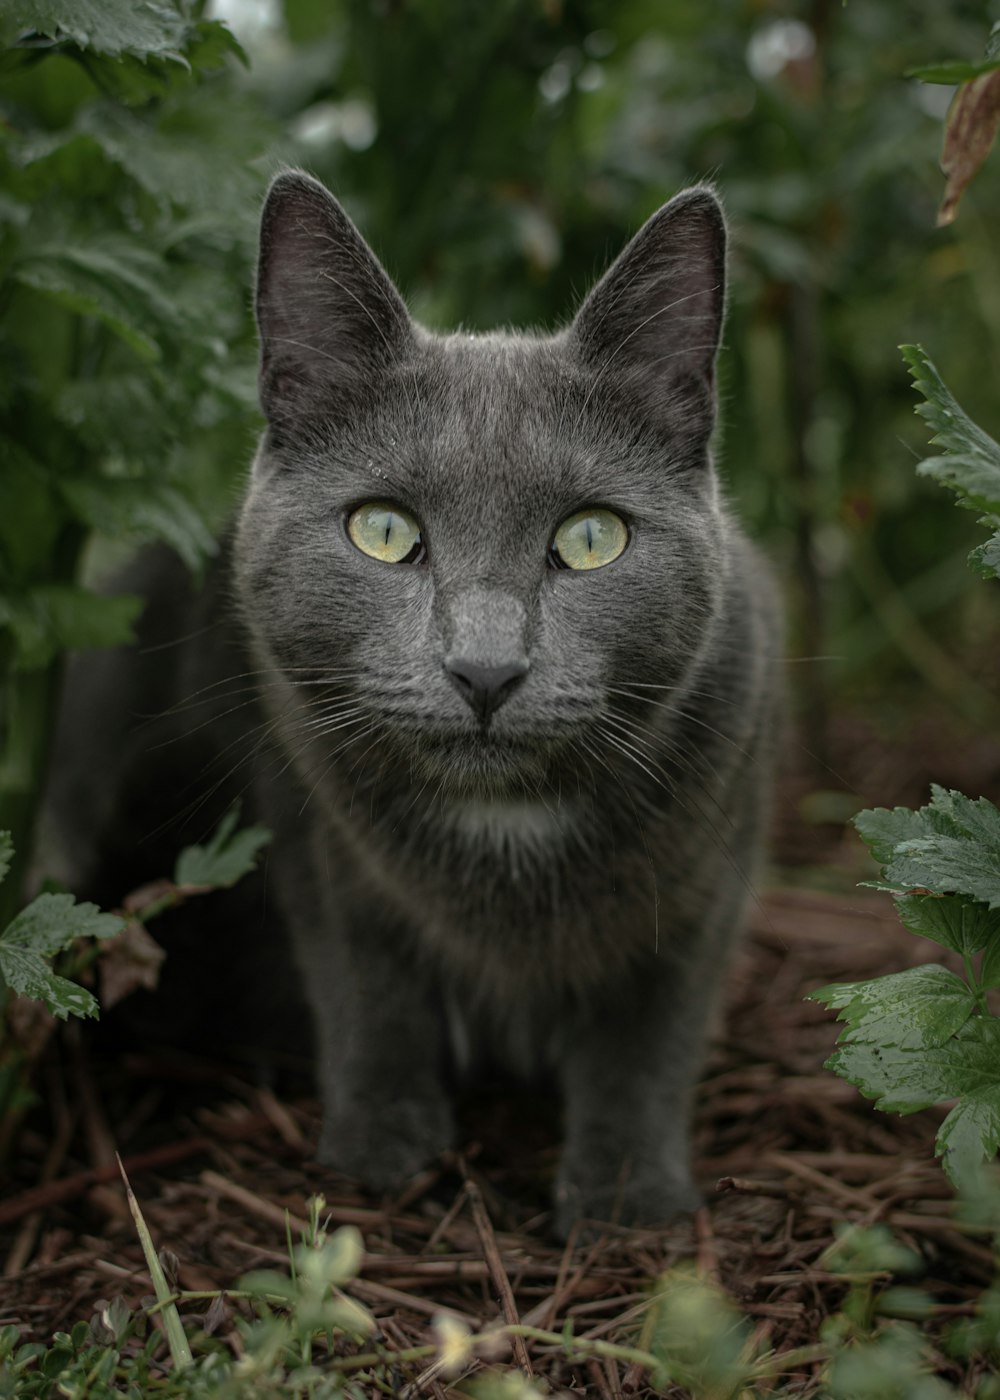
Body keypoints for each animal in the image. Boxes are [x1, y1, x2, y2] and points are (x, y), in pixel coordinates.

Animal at [225, 169, 778, 1232]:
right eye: (384, 530)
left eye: (593, 538)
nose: (485, 671)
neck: (503, 824)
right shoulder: (314, 828)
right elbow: (366, 978)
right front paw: (381, 1146)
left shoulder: (711, 868)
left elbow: (649, 1033)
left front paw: (625, 1198)